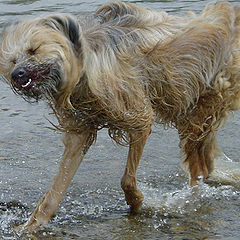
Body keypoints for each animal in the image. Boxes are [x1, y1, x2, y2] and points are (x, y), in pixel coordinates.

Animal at [0, 0, 240, 232]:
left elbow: (127, 179)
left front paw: (136, 202)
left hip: (197, 114)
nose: (16, 74)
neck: (84, 65)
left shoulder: (140, 117)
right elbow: (57, 186)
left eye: (33, 50)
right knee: (206, 167)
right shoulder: (79, 133)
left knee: (200, 171)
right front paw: (33, 224)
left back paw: (184, 202)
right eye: (12, 60)